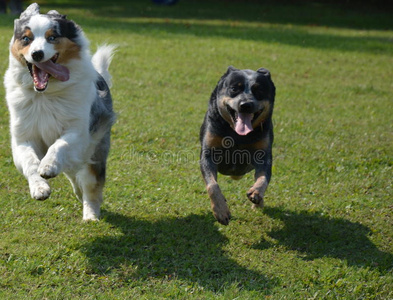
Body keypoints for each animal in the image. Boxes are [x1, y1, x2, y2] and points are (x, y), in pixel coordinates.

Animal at [3, 4, 116, 220]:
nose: (37, 54)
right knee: (74, 175)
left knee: (91, 185)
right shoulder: (22, 138)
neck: (44, 96)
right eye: (26, 39)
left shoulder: (79, 131)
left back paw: (91, 215)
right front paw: (40, 188)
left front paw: (48, 166)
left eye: (52, 37)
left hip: (95, 150)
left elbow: (60, 145)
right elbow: (30, 162)